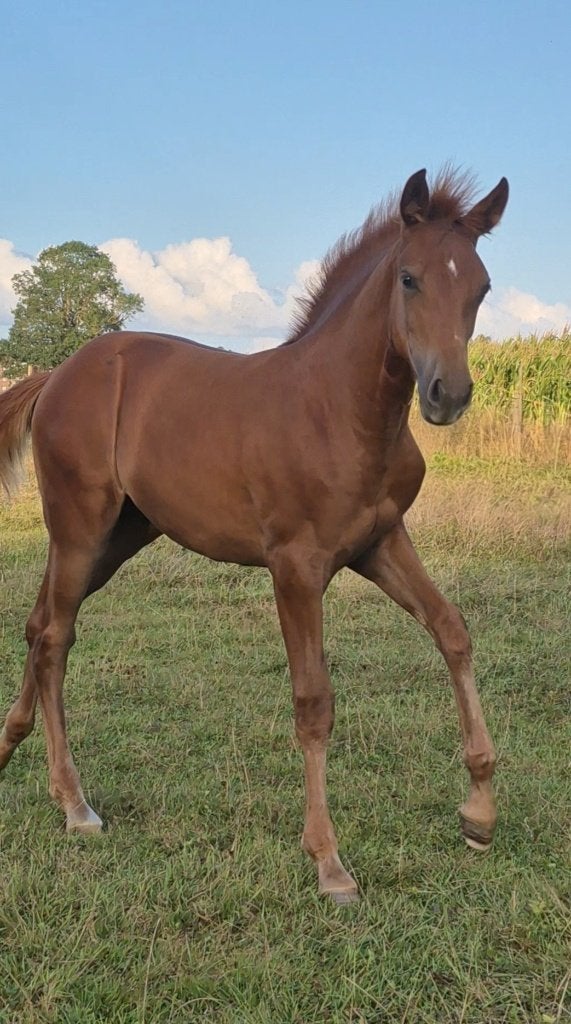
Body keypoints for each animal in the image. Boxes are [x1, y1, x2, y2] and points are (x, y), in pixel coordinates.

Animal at [0, 168, 508, 903]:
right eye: (409, 278)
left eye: (482, 286)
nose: (448, 393)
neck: (341, 409)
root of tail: (57, 374)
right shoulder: (295, 566)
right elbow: (314, 700)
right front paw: (328, 861)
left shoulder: (380, 544)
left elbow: (452, 631)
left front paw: (479, 813)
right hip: (78, 529)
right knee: (56, 637)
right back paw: (75, 805)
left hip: (119, 537)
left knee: (40, 623)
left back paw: (9, 745)